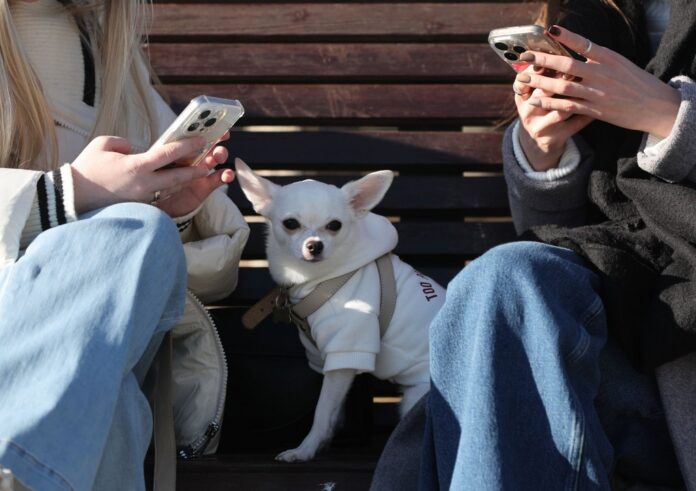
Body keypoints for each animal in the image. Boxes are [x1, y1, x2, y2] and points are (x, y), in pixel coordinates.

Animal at [235, 158, 445, 462]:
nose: (315, 245)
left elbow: (323, 409)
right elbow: (333, 408)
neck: (322, 277)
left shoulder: (345, 347)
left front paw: (304, 450)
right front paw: (325, 441)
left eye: (334, 225)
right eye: (290, 224)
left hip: (414, 400)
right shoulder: (323, 355)